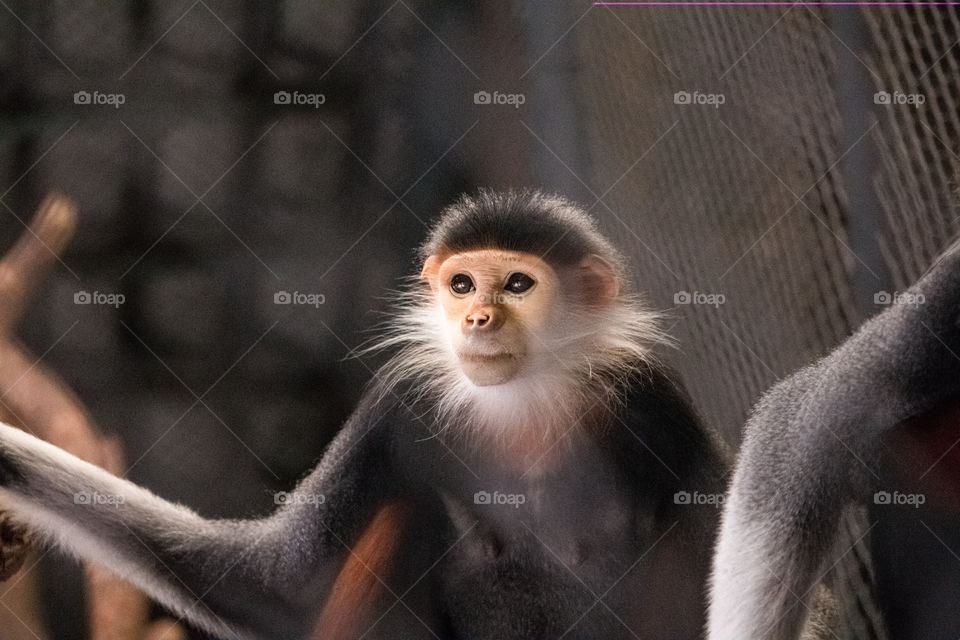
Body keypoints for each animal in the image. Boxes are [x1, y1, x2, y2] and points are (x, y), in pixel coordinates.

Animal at [0, 189, 730, 639]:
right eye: (462, 284)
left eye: (518, 283)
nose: (477, 318)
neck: (523, 399)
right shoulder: (397, 405)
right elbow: (274, 589)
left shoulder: (651, 400)